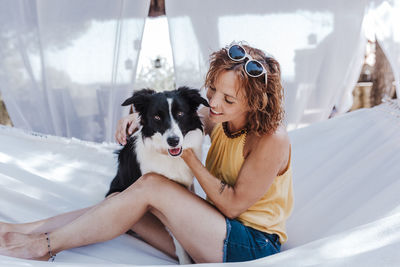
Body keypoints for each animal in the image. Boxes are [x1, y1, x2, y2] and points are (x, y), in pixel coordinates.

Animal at [106, 87, 209, 264]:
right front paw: (186, 262)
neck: (169, 157)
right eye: (157, 117)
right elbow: (179, 239)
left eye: (180, 113)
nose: (173, 141)